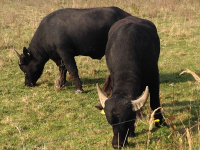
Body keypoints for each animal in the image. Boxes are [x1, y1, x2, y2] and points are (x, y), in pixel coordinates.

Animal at [95, 15, 167, 148]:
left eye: (127, 122)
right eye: (110, 123)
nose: (117, 144)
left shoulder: (154, 78)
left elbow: (155, 103)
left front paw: (160, 123)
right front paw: (132, 132)